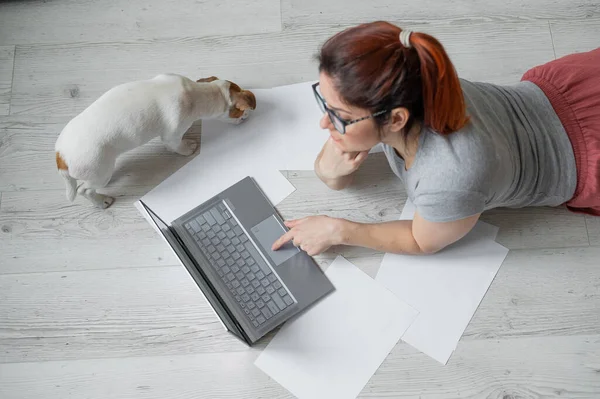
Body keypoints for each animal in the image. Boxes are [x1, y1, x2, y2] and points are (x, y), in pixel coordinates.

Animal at [53, 73, 255, 208]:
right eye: (242, 113)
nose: (248, 118)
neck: (196, 93)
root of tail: (61, 155)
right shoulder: (172, 135)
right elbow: (177, 145)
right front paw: (187, 147)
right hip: (98, 170)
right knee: (84, 190)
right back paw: (101, 201)